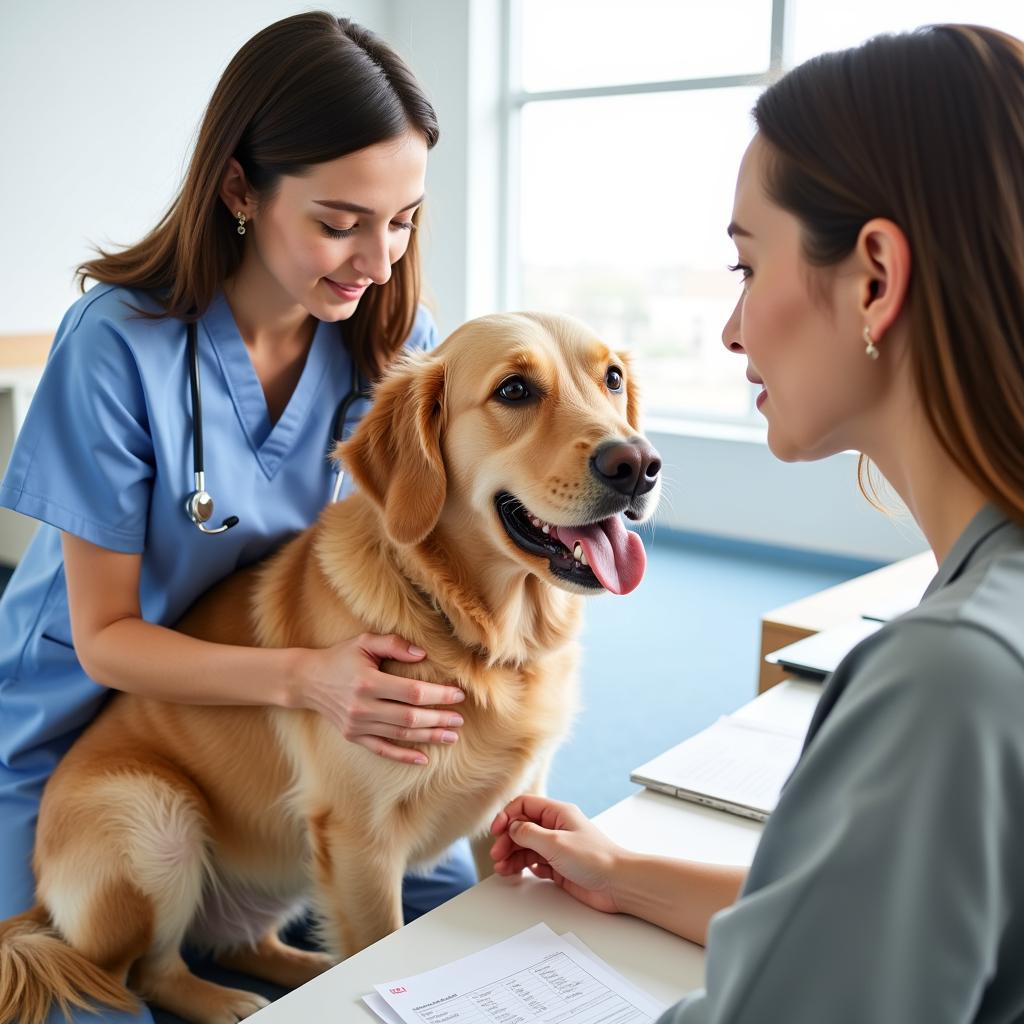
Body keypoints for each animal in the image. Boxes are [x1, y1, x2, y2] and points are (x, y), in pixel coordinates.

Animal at [0, 311, 663, 1024]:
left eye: (612, 378)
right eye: (514, 390)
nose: (638, 465)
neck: (471, 631)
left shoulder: (512, 810)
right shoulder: (358, 840)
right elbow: (378, 938)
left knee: (240, 942)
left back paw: (302, 971)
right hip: (153, 818)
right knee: (139, 973)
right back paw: (228, 1001)